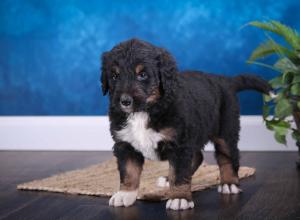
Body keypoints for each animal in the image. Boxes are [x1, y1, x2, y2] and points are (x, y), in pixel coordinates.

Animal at [101, 38, 272, 211]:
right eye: (114, 76)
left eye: (142, 75)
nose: (124, 101)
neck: (143, 111)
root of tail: (226, 80)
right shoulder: (125, 144)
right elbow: (129, 171)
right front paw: (125, 194)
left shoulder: (179, 144)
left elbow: (179, 173)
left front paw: (179, 198)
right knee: (198, 156)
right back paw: (168, 179)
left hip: (226, 130)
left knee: (227, 156)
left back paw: (229, 183)